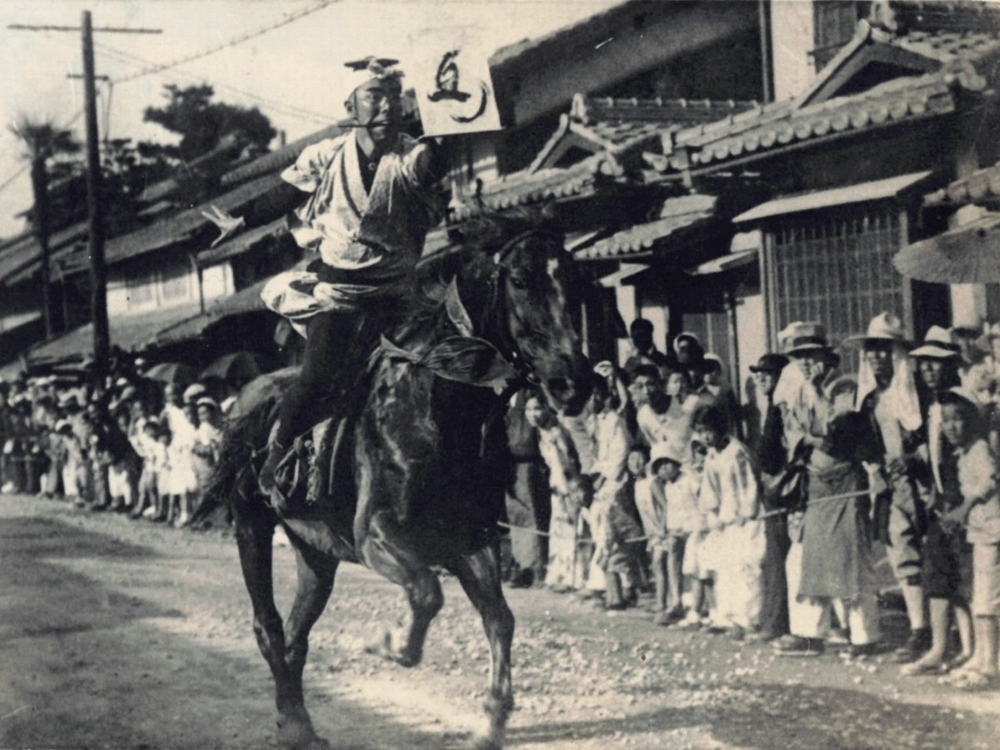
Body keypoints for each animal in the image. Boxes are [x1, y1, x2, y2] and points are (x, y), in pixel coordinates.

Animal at [197, 212, 592, 750]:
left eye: (573, 280)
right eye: (520, 280)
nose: (574, 383)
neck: (437, 407)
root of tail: (247, 400)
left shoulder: (472, 539)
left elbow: (499, 619)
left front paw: (492, 719)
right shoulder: (377, 537)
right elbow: (427, 592)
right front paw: (389, 643)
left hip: (316, 551)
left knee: (297, 634)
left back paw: (298, 721)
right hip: (250, 526)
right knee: (269, 627)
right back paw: (294, 721)